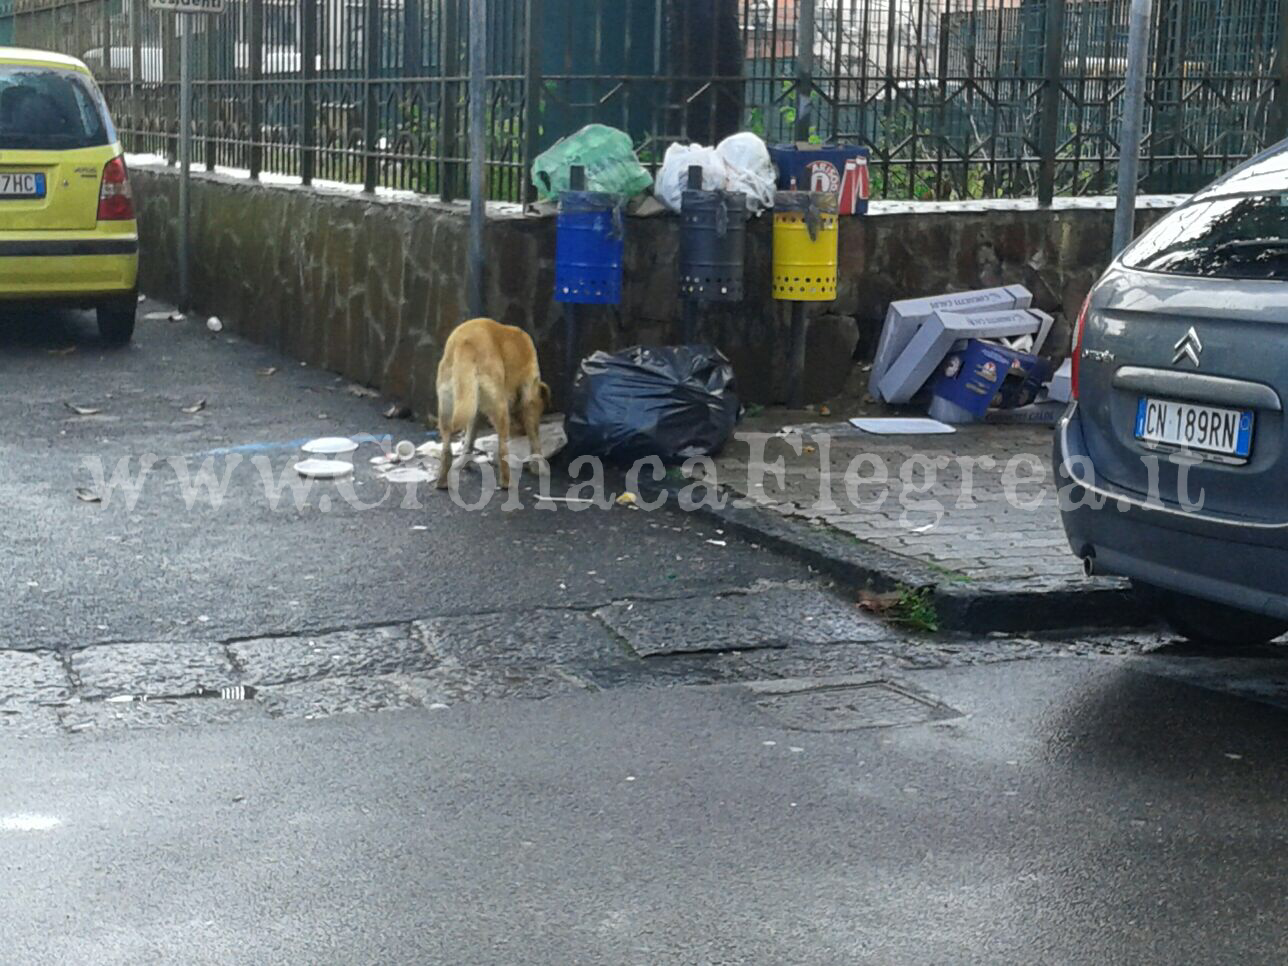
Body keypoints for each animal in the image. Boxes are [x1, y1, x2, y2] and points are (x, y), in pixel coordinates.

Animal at [435, 319, 551, 492]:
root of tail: (465, 343)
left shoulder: (475, 413)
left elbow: (469, 439)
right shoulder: (529, 400)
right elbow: (535, 439)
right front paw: (538, 467)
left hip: (448, 409)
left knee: (446, 449)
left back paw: (443, 481)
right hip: (500, 409)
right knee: (502, 449)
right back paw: (506, 482)